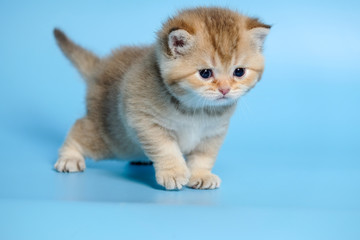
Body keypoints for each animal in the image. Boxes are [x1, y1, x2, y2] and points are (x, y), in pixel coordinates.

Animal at [53, 7, 270, 189]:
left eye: (239, 72)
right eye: (205, 73)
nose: (225, 90)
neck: (195, 109)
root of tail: (101, 67)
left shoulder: (214, 133)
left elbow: (204, 156)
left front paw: (200, 175)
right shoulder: (145, 120)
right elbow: (166, 149)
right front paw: (173, 172)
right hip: (111, 139)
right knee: (79, 129)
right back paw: (69, 158)